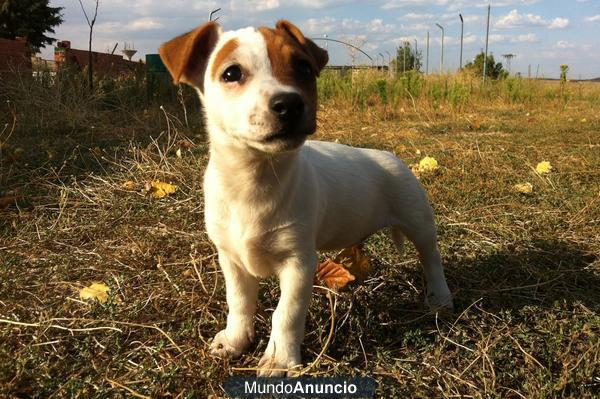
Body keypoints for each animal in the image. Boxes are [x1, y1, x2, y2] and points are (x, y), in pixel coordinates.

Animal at [159, 19, 450, 378]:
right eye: (231, 73)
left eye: (303, 68)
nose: (290, 103)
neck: (255, 179)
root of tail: (389, 156)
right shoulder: (231, 259)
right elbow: (238, 302)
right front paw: (235, 340)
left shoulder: (298, 263)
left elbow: (286, 314)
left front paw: (279, 359)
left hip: (418, 220)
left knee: (431, 258)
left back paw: (440, 296)